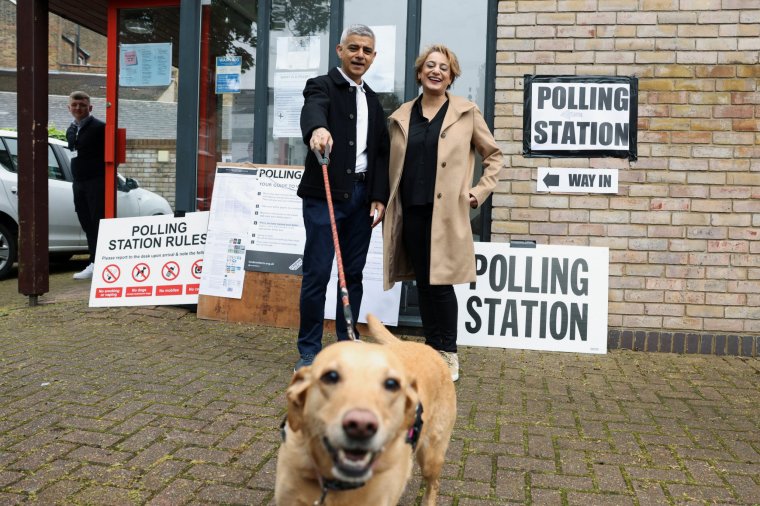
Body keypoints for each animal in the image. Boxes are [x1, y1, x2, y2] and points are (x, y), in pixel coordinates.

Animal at [280, 314, 458, 504]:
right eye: (331, 376)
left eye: (391, 384)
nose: (361, 425)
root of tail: (428, 348)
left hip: (431, 456)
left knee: (434, 483)